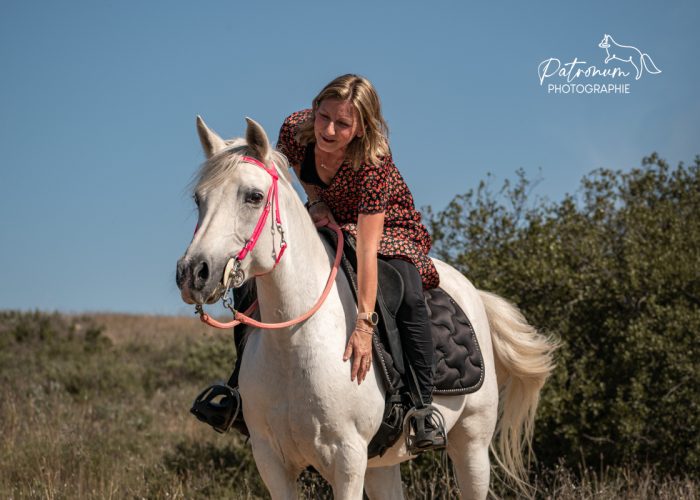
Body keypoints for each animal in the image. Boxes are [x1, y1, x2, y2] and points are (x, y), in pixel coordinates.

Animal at [176, 118, 556, 500]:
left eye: (253, 196)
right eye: (199, 199)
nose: (193, 273)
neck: (295, 344)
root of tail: (471, 291)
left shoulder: (346, 459)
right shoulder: (272, 462)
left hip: (472, 443)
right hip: (381, 465)